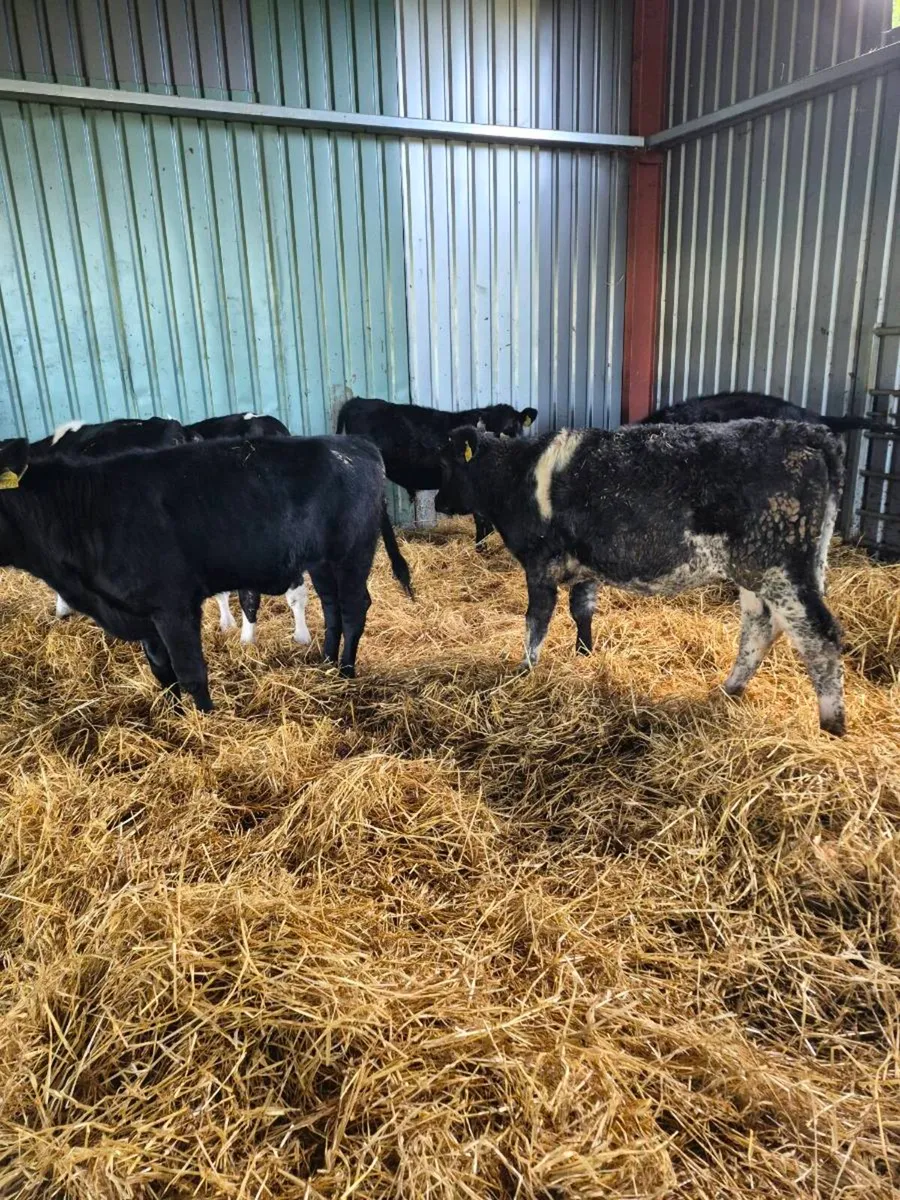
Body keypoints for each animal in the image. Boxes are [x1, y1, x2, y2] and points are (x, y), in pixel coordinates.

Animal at [435, 420, 846, 735]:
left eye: (449, 463)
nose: (438, 501)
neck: (513, 475)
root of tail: (807, 431)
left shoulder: (539, 563)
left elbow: (536, 621)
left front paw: (524, 671)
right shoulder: (585, 563)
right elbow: (582, 609)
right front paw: (584, 655)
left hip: (779, 566)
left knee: (818, 633)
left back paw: (832, 723)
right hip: (758, 572)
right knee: (760, 626)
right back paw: (729, 690)